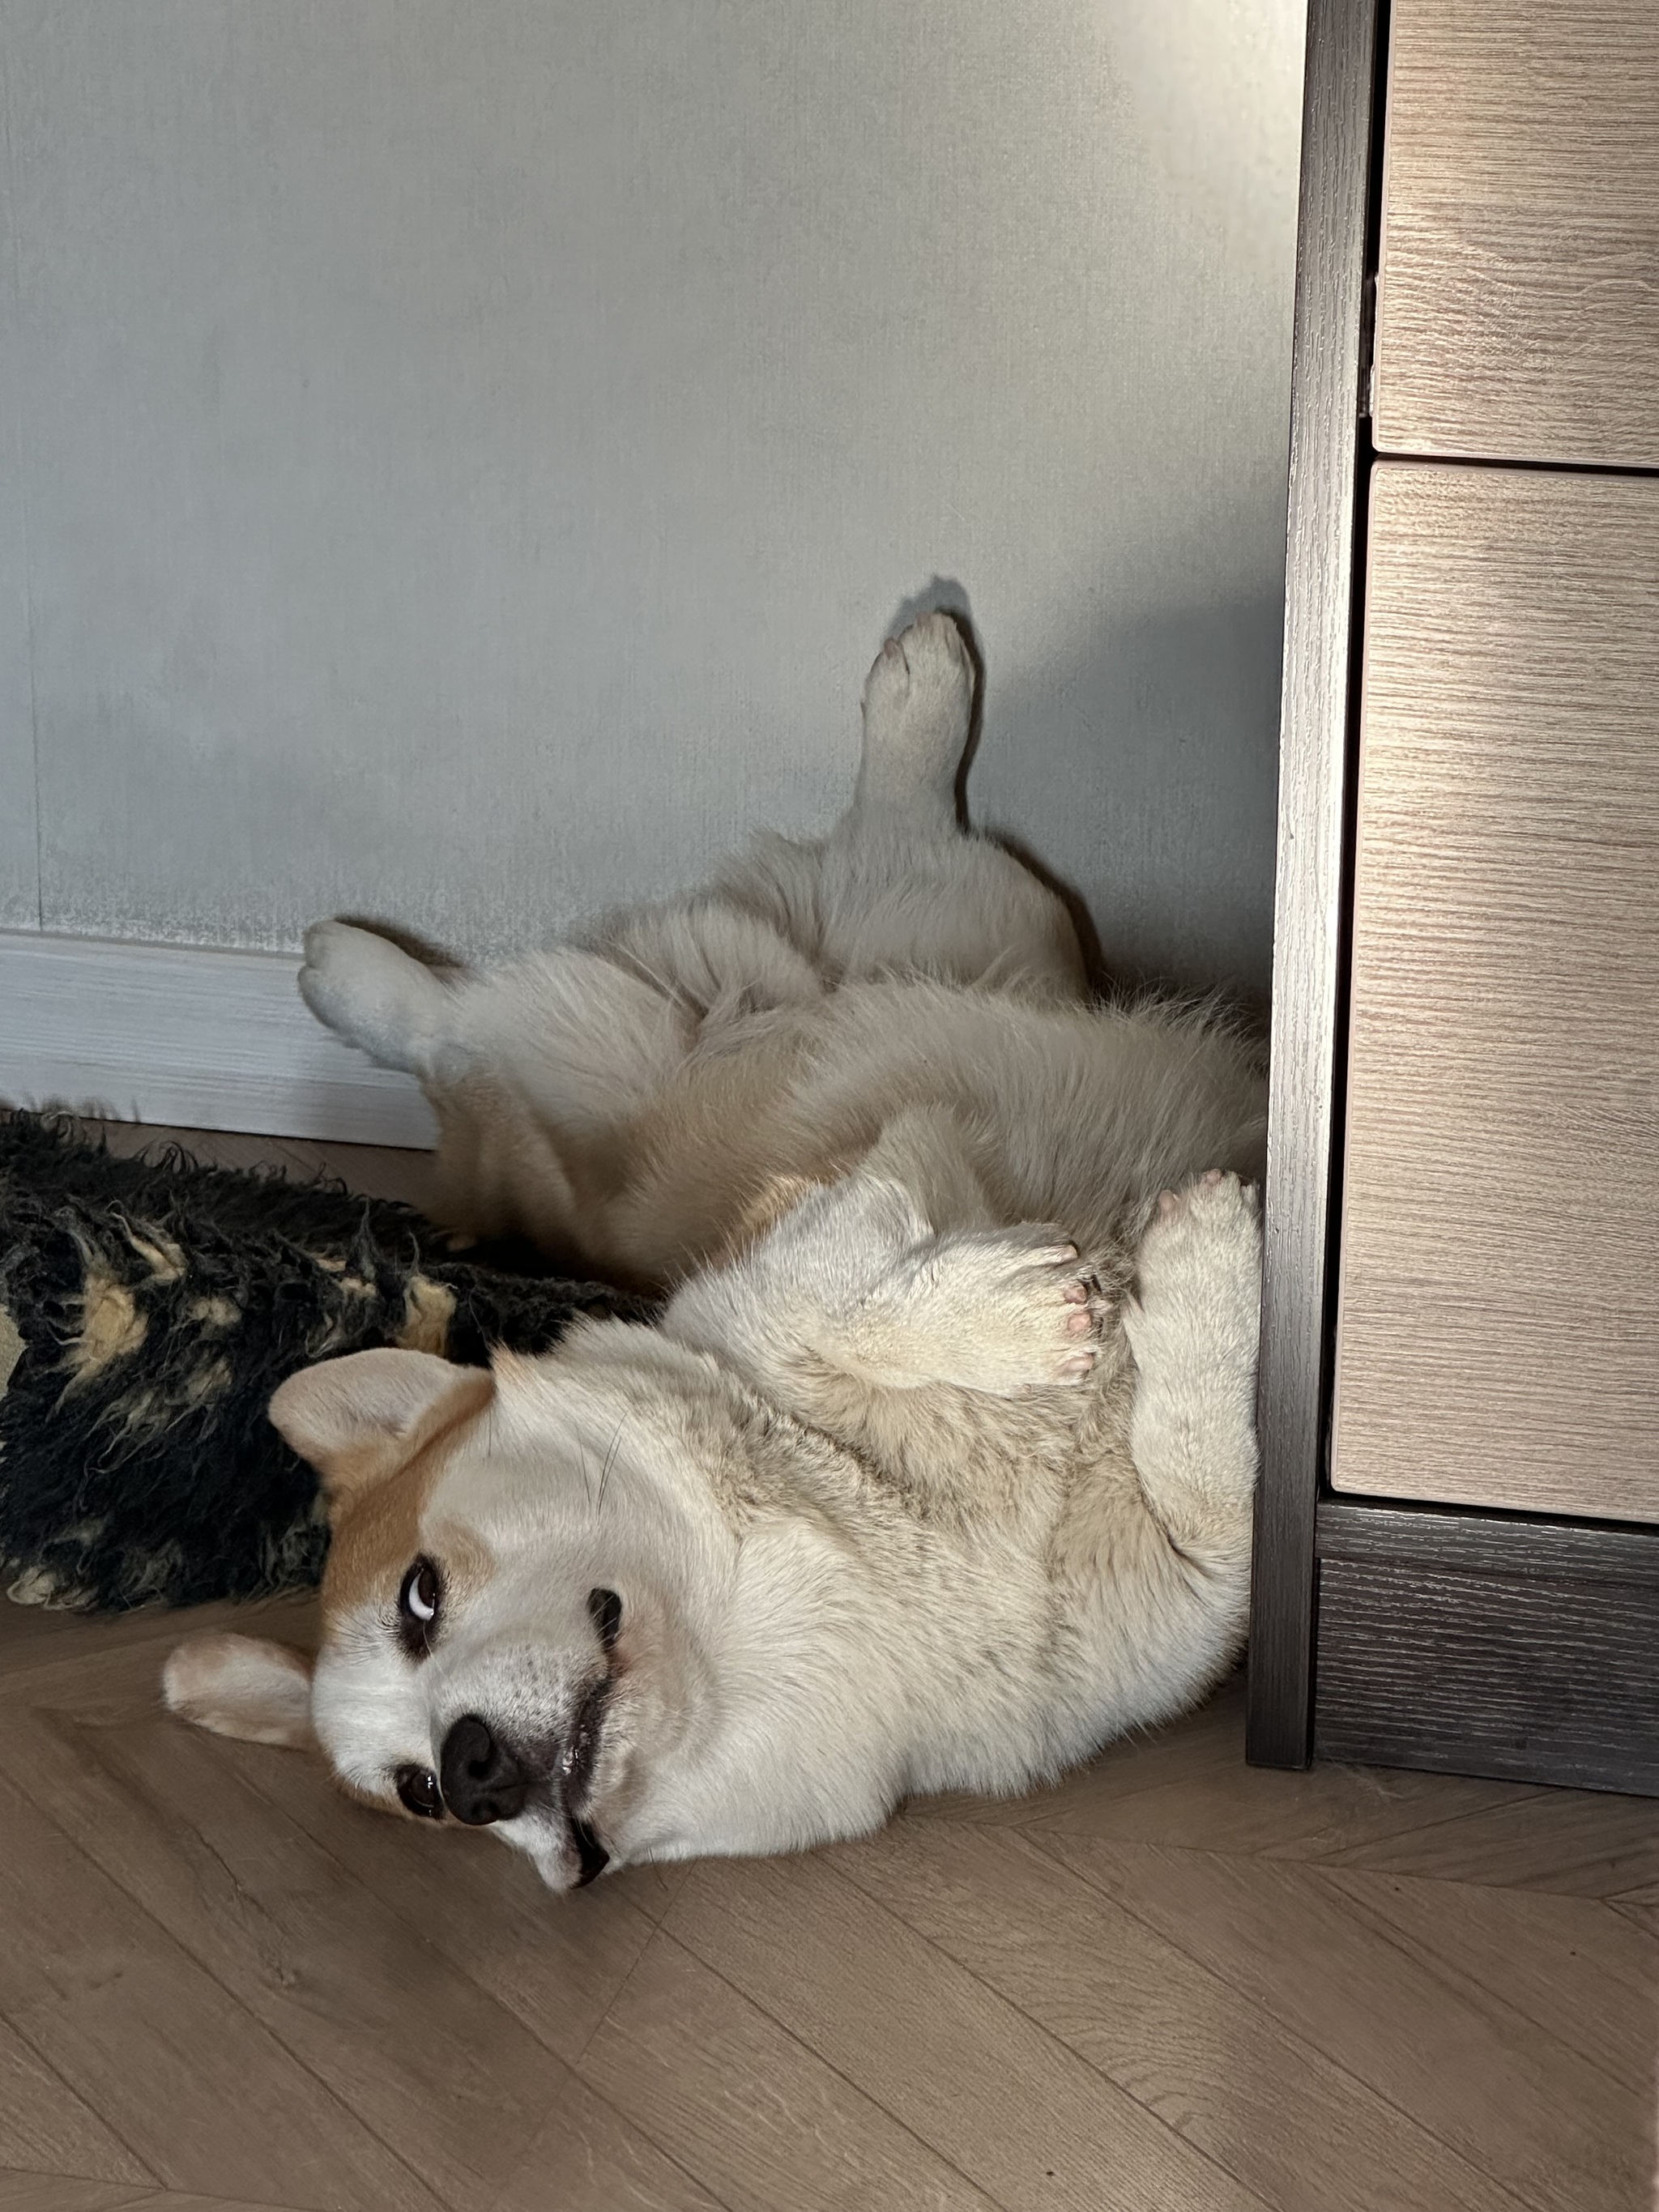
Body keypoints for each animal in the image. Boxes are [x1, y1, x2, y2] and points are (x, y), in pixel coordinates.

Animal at [165, 611, 1267, 1893]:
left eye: (420, 1596)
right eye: (419, 1796)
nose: (473, 1768)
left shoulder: (842, 1190)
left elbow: (844, 1303)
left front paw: (1077, 1298)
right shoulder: (1203, 1591)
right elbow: (1210, 1477)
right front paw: (1187, 1272)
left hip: (874, 966)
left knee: (480, 1011)